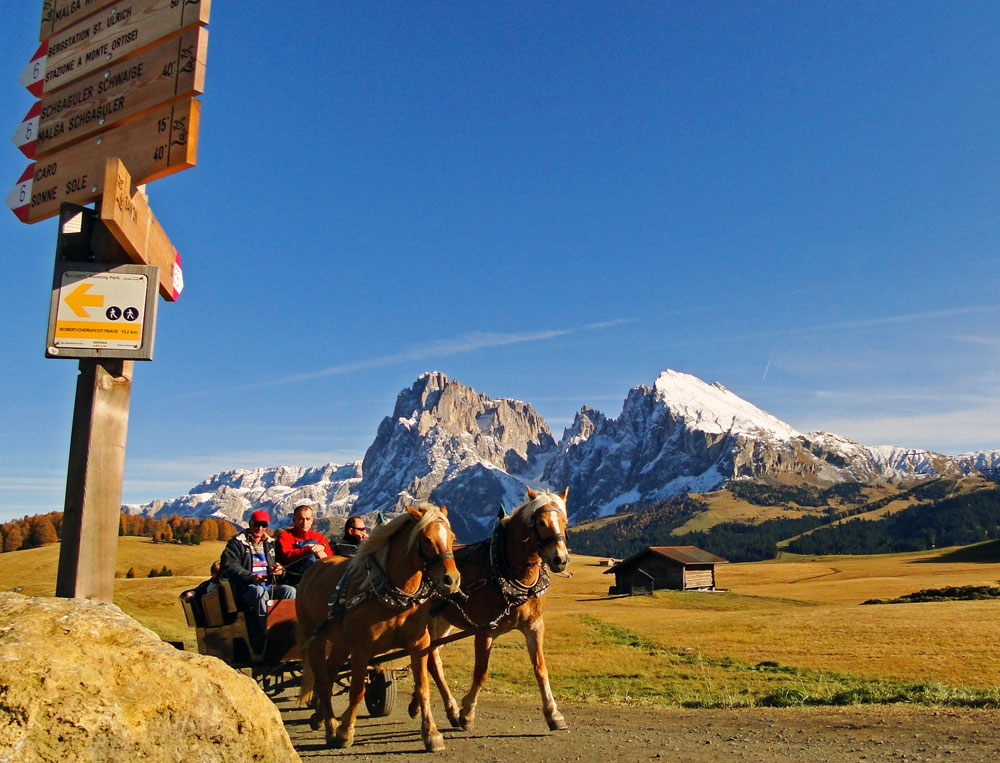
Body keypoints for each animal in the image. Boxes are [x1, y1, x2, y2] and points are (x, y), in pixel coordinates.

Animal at [292, 504, 458, 748]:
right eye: (427, 540)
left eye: (452, 537)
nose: (452, 580)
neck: (393, 595)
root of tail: (313, 569)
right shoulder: (361, 648)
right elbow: (357, 691)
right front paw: (345, 731)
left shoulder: (419, 644)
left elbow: (423, 687)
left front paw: (432, 733)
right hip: (315, 639)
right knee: (322, 680)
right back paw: (331, 728)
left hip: (341, 643)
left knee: (330, 675)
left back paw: (320, 717)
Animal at [414, 490, 572, 736]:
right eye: (541, 523)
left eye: (564, 521)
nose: (560, 559)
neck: (506, 570)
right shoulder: (485, 630)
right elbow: (481, 672)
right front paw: (467, 712)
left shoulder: (534, 625)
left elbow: (541, 669)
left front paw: (554, 714)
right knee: (430, 660)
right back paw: (452, 709)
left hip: (441, 621)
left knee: (432, 659)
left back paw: (432, 707)